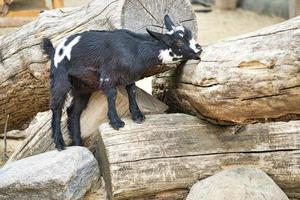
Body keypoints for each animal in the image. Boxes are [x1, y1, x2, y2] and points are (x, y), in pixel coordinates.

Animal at [41, 15, 202, 150]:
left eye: (190, 34)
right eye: (179, 40)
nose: (199, 49)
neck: (135, 50)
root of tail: (54, 51)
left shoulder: (130, 77)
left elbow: (132, 91)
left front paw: (137, 116)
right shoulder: (107, 76)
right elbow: (112, 95)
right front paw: (116, 122)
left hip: (82, 87)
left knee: (73, 111)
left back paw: (78, 144)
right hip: (60, 78)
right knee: (56, 107)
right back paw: (60, 143)